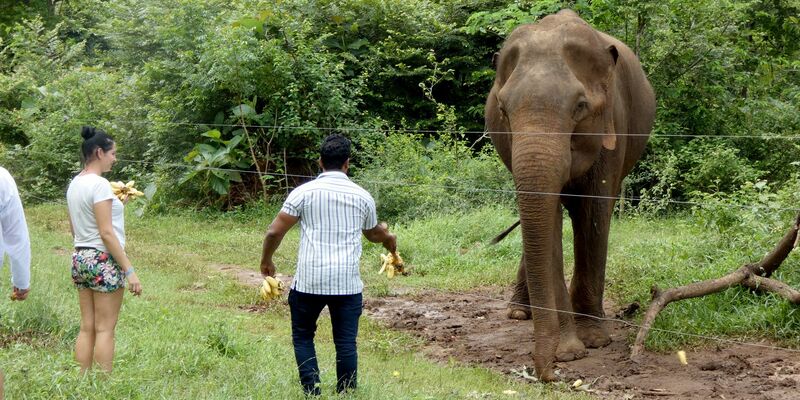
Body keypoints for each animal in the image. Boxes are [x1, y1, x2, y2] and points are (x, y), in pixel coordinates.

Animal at [485, 10, 655, 381]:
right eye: (502, 109)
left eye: (580, 106)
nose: (548, 372)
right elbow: (548, 222)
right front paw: (570, 350)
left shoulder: (612, 123)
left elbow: (593, 213)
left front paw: (594, 341)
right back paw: (519, 314)